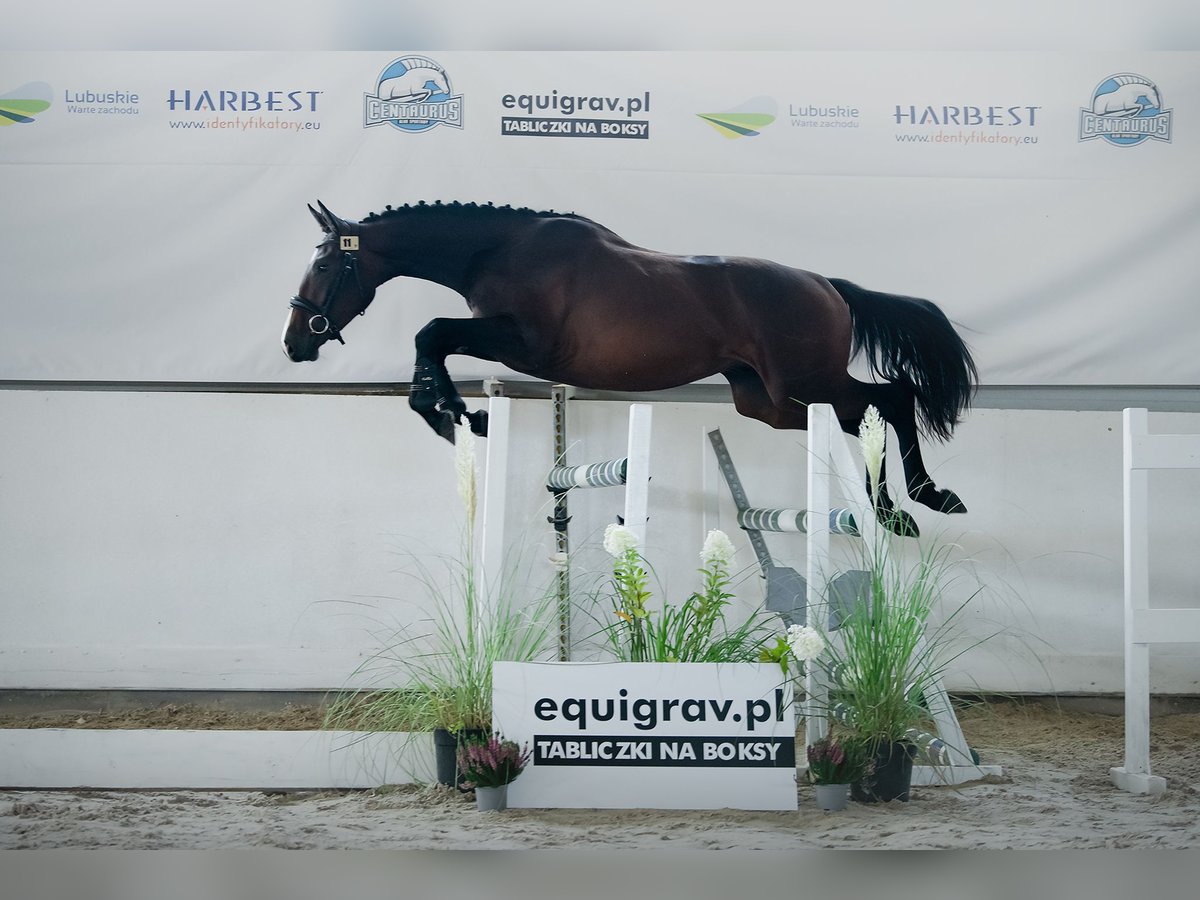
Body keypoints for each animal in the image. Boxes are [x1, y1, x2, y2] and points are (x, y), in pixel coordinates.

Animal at [285, 200, 979, 535]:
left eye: (323, 264)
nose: (296, 343)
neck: (501, 250)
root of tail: (827, 285)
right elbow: (431, 345)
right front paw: (456, 412)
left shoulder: (520, 342)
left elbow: (431, 334)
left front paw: (453, 412)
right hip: (769, 402)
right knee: (864, 413)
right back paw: (898, 507)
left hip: (804, 383)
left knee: (889, 400)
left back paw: (914, 503)